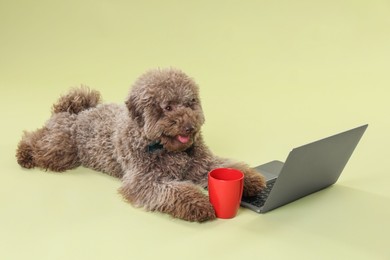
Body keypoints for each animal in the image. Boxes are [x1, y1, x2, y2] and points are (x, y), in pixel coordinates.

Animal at [15, 68, 266, 222]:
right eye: (168, 107)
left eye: (189, 103)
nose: (189, 126)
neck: (164, 147)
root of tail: (75, 110)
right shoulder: (144, 181)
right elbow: (176, 191)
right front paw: (199, 204)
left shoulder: (201, 164)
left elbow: (224, 166)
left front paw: (251, 180)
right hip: (60, 149)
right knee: (36, 139)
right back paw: (24, 154)